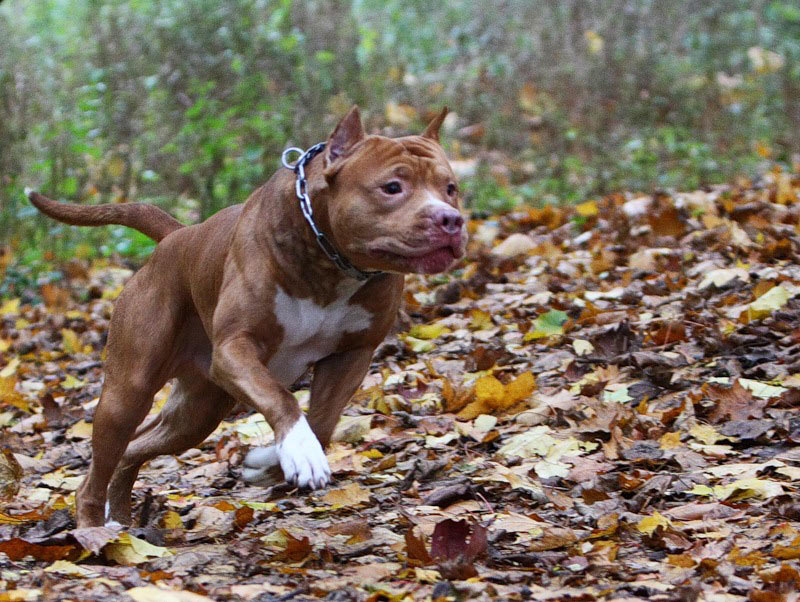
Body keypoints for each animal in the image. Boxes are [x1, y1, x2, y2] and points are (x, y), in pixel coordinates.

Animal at [26, 106, 468, 524]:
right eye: (392, 187)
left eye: (450, 188)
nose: (450, 220)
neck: (330, 263)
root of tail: (177, 236)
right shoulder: (235, 349)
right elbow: (282, 398)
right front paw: (299, 451)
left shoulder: (353, 355)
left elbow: (323, 422)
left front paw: (272, 461)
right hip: (129, 390)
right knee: (100, 464)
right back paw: (92, 530)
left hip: (198, 410)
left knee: (134, 448)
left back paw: (117, 516)